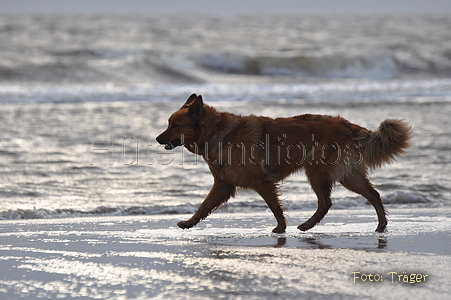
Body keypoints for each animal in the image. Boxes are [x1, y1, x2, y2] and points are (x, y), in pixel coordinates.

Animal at [158, 95, 414, 233]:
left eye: (175, 125)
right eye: (169, 123)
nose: (158, 139)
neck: (215, 133)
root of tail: (348, 125)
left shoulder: (261, 182)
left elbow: (274, 206)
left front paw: (281, 228)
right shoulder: (223, 185)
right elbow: (203, 206)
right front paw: (190, 222)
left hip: (317, 171)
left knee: (327, 202)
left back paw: (308, 225)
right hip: (347, 175)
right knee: (373, 195)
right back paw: (381, 225)